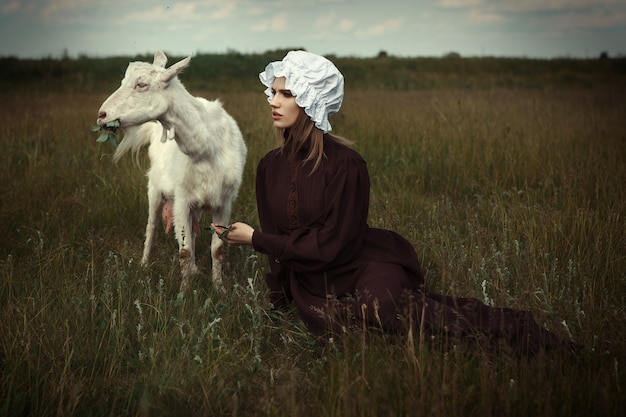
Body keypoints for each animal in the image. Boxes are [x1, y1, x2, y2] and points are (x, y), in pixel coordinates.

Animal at [95, 50, 246, 290]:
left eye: (141, 84)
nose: (102, 115)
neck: (206, 148)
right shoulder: (182, 199)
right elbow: (184, 251)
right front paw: (184, 292)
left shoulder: (224, 202)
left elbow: (217, 249)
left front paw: (219, 288)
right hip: (155, 189)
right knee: (151, 226)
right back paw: (144, 264)